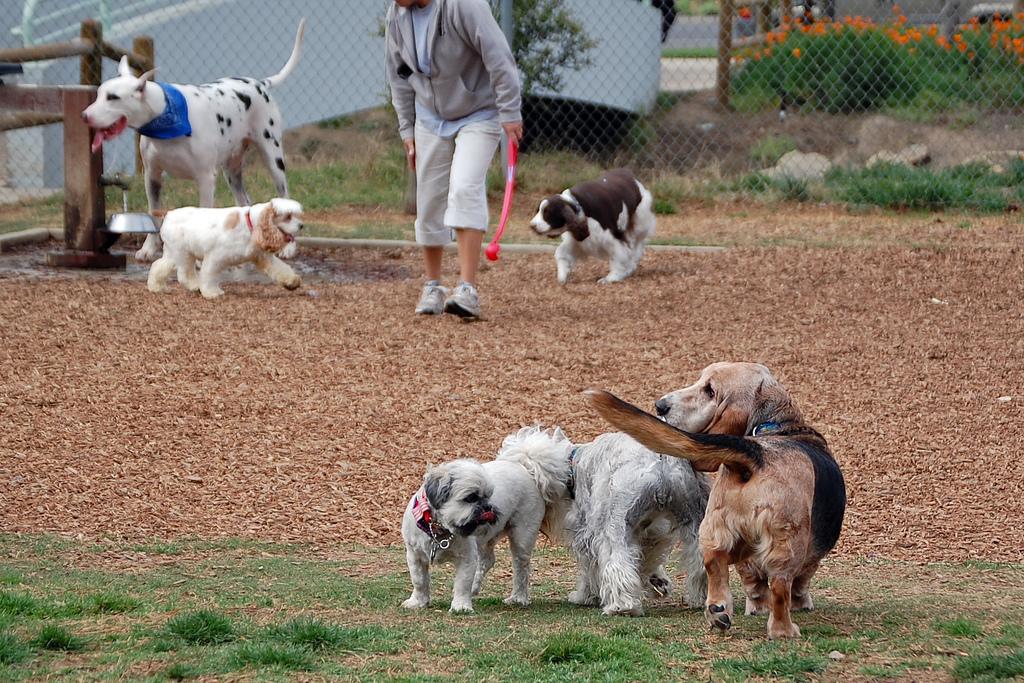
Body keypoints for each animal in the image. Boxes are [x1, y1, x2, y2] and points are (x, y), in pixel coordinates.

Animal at [81, 18, 305, 264]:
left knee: (285, 197)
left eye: (113, 97)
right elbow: (152, 215)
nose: (85, 115)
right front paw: (149, 249)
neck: (165, 114)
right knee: (244, 202)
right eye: (99, 94)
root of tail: (260, 83)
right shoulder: (152, 177)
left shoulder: (205, 179)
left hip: (273, 160)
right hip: (232, 172)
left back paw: (289, 248)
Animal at [399, 428, 577, 614]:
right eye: (470, 497)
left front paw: (461, 606)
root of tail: (525, 467)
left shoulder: (466, 558)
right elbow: (419, 581)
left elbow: (462, 583)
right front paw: (418, 601)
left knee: (521, 568)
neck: (439, 530)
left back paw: (518, 598)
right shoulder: (414, 556)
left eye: (489, 495)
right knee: (487, 560)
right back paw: (476, 587)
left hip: (522, 537)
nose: (487, 508)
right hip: (486, 538)